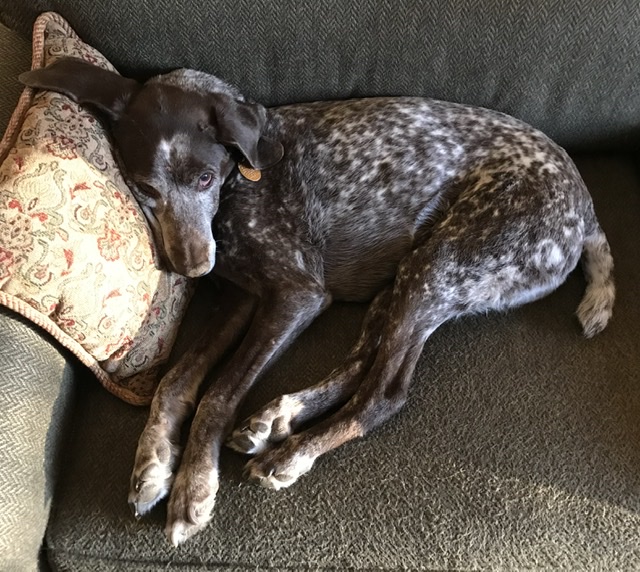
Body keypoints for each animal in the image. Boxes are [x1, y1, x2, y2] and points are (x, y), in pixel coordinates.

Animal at [21, 57, 615, 546]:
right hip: (405, 280)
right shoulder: (242, 297)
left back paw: (292, 454)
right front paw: (153, 461)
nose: (191, 267)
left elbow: (217, 393)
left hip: (440, 266)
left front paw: (194, 486)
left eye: (205, 178)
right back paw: (279, 417)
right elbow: (175, 380)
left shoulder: (296, 295)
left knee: (385, 392)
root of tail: (585, 210)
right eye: (144, 189)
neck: (243, 183)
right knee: (361, 363)